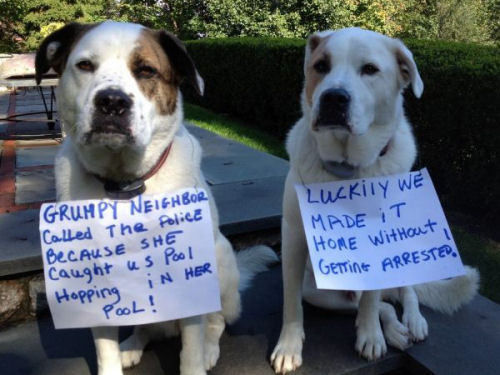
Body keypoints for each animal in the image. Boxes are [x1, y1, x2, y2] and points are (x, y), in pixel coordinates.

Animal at [36, 21, 278, 375]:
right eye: (85, 65)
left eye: (146, 70)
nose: (112, 102)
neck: (125, 185)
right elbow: (104, 349)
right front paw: (115, 357)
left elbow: (191, 351)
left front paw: (197, 359)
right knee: (146, 328)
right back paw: (133, 345)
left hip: (221, 261)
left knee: (216, 321)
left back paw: (209, 347)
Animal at [272, 27, 478, 374]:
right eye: (320, 66)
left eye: (370, 69)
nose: (333, 97)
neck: (348, 171)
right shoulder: (294, 237)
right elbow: (290, 303)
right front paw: (288, 347)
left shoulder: (381, 243)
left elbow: (372, 298)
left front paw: (370, 337)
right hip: (319, 292)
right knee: (381, 306)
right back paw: (395, 331)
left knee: (402, 294)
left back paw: (411, 323)